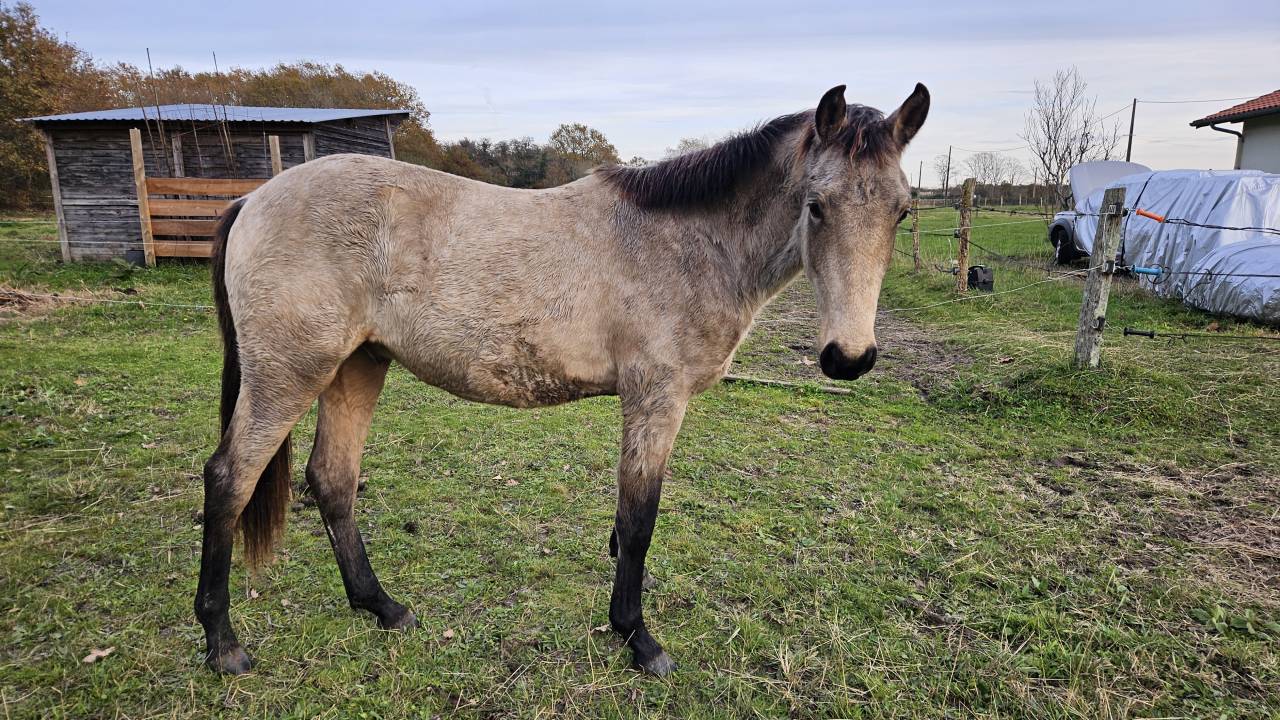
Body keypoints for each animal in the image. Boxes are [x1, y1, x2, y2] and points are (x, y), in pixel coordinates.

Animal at [195, 83, 930, 676]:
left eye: (900, 212)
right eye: (816, 206)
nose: (849, 357)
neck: (685, 244)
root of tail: (252, 199)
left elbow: (627, 525)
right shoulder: (655, 400)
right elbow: (639, 520)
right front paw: (638, 640)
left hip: (357, 365)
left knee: (333, 480)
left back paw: (382, 607)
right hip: (290, 374)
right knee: (230, 480)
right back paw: (223, 644)